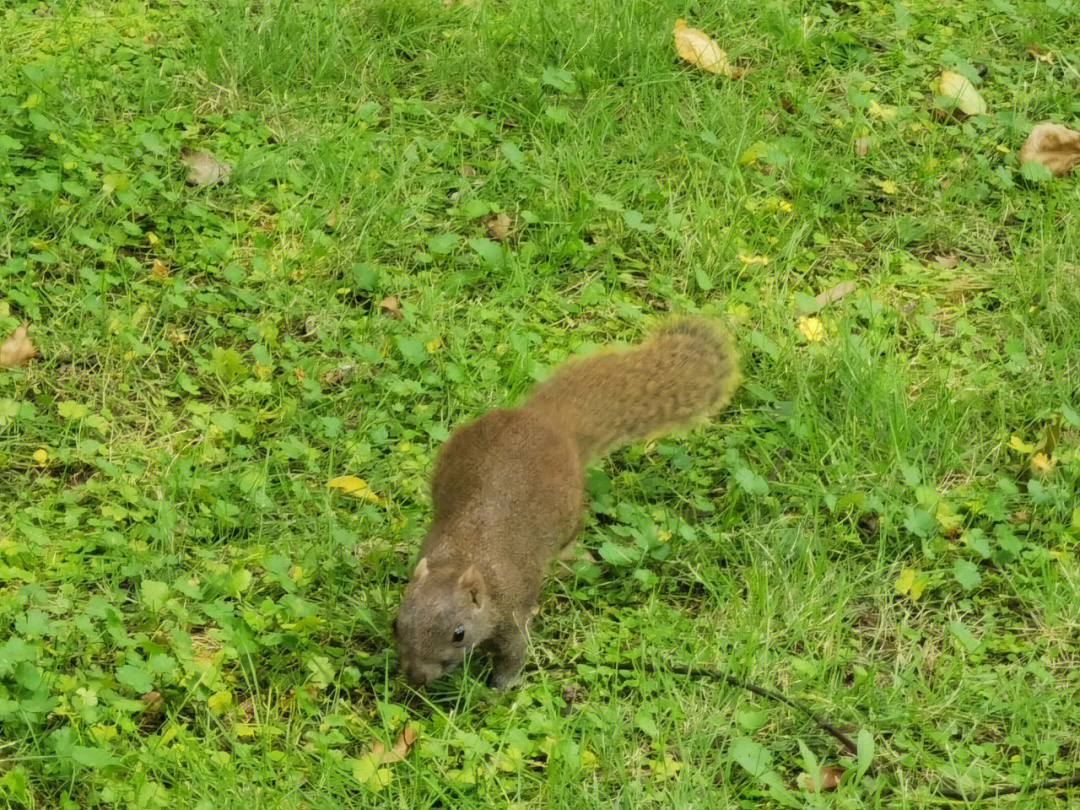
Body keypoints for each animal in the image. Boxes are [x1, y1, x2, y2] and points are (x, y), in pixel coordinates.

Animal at [393, 319, 738, 686]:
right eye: (396, 623)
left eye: (458, 634)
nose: (416, 676)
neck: (462, 558)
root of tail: (547, 421)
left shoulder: (514, 610)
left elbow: (513, 652)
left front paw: (500, 688)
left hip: (570, 515)